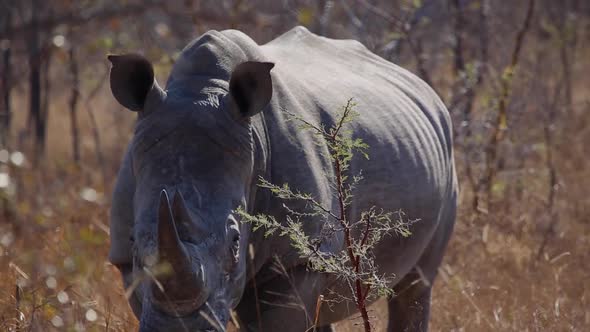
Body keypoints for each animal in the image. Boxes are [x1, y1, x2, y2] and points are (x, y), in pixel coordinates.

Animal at [108, 26, 460, 332]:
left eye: (235, 242)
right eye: (133, 240)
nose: (178, 330)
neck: (204, 90)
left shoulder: (299, 260)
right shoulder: (129, 267)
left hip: (445, 150)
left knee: (415, 285)